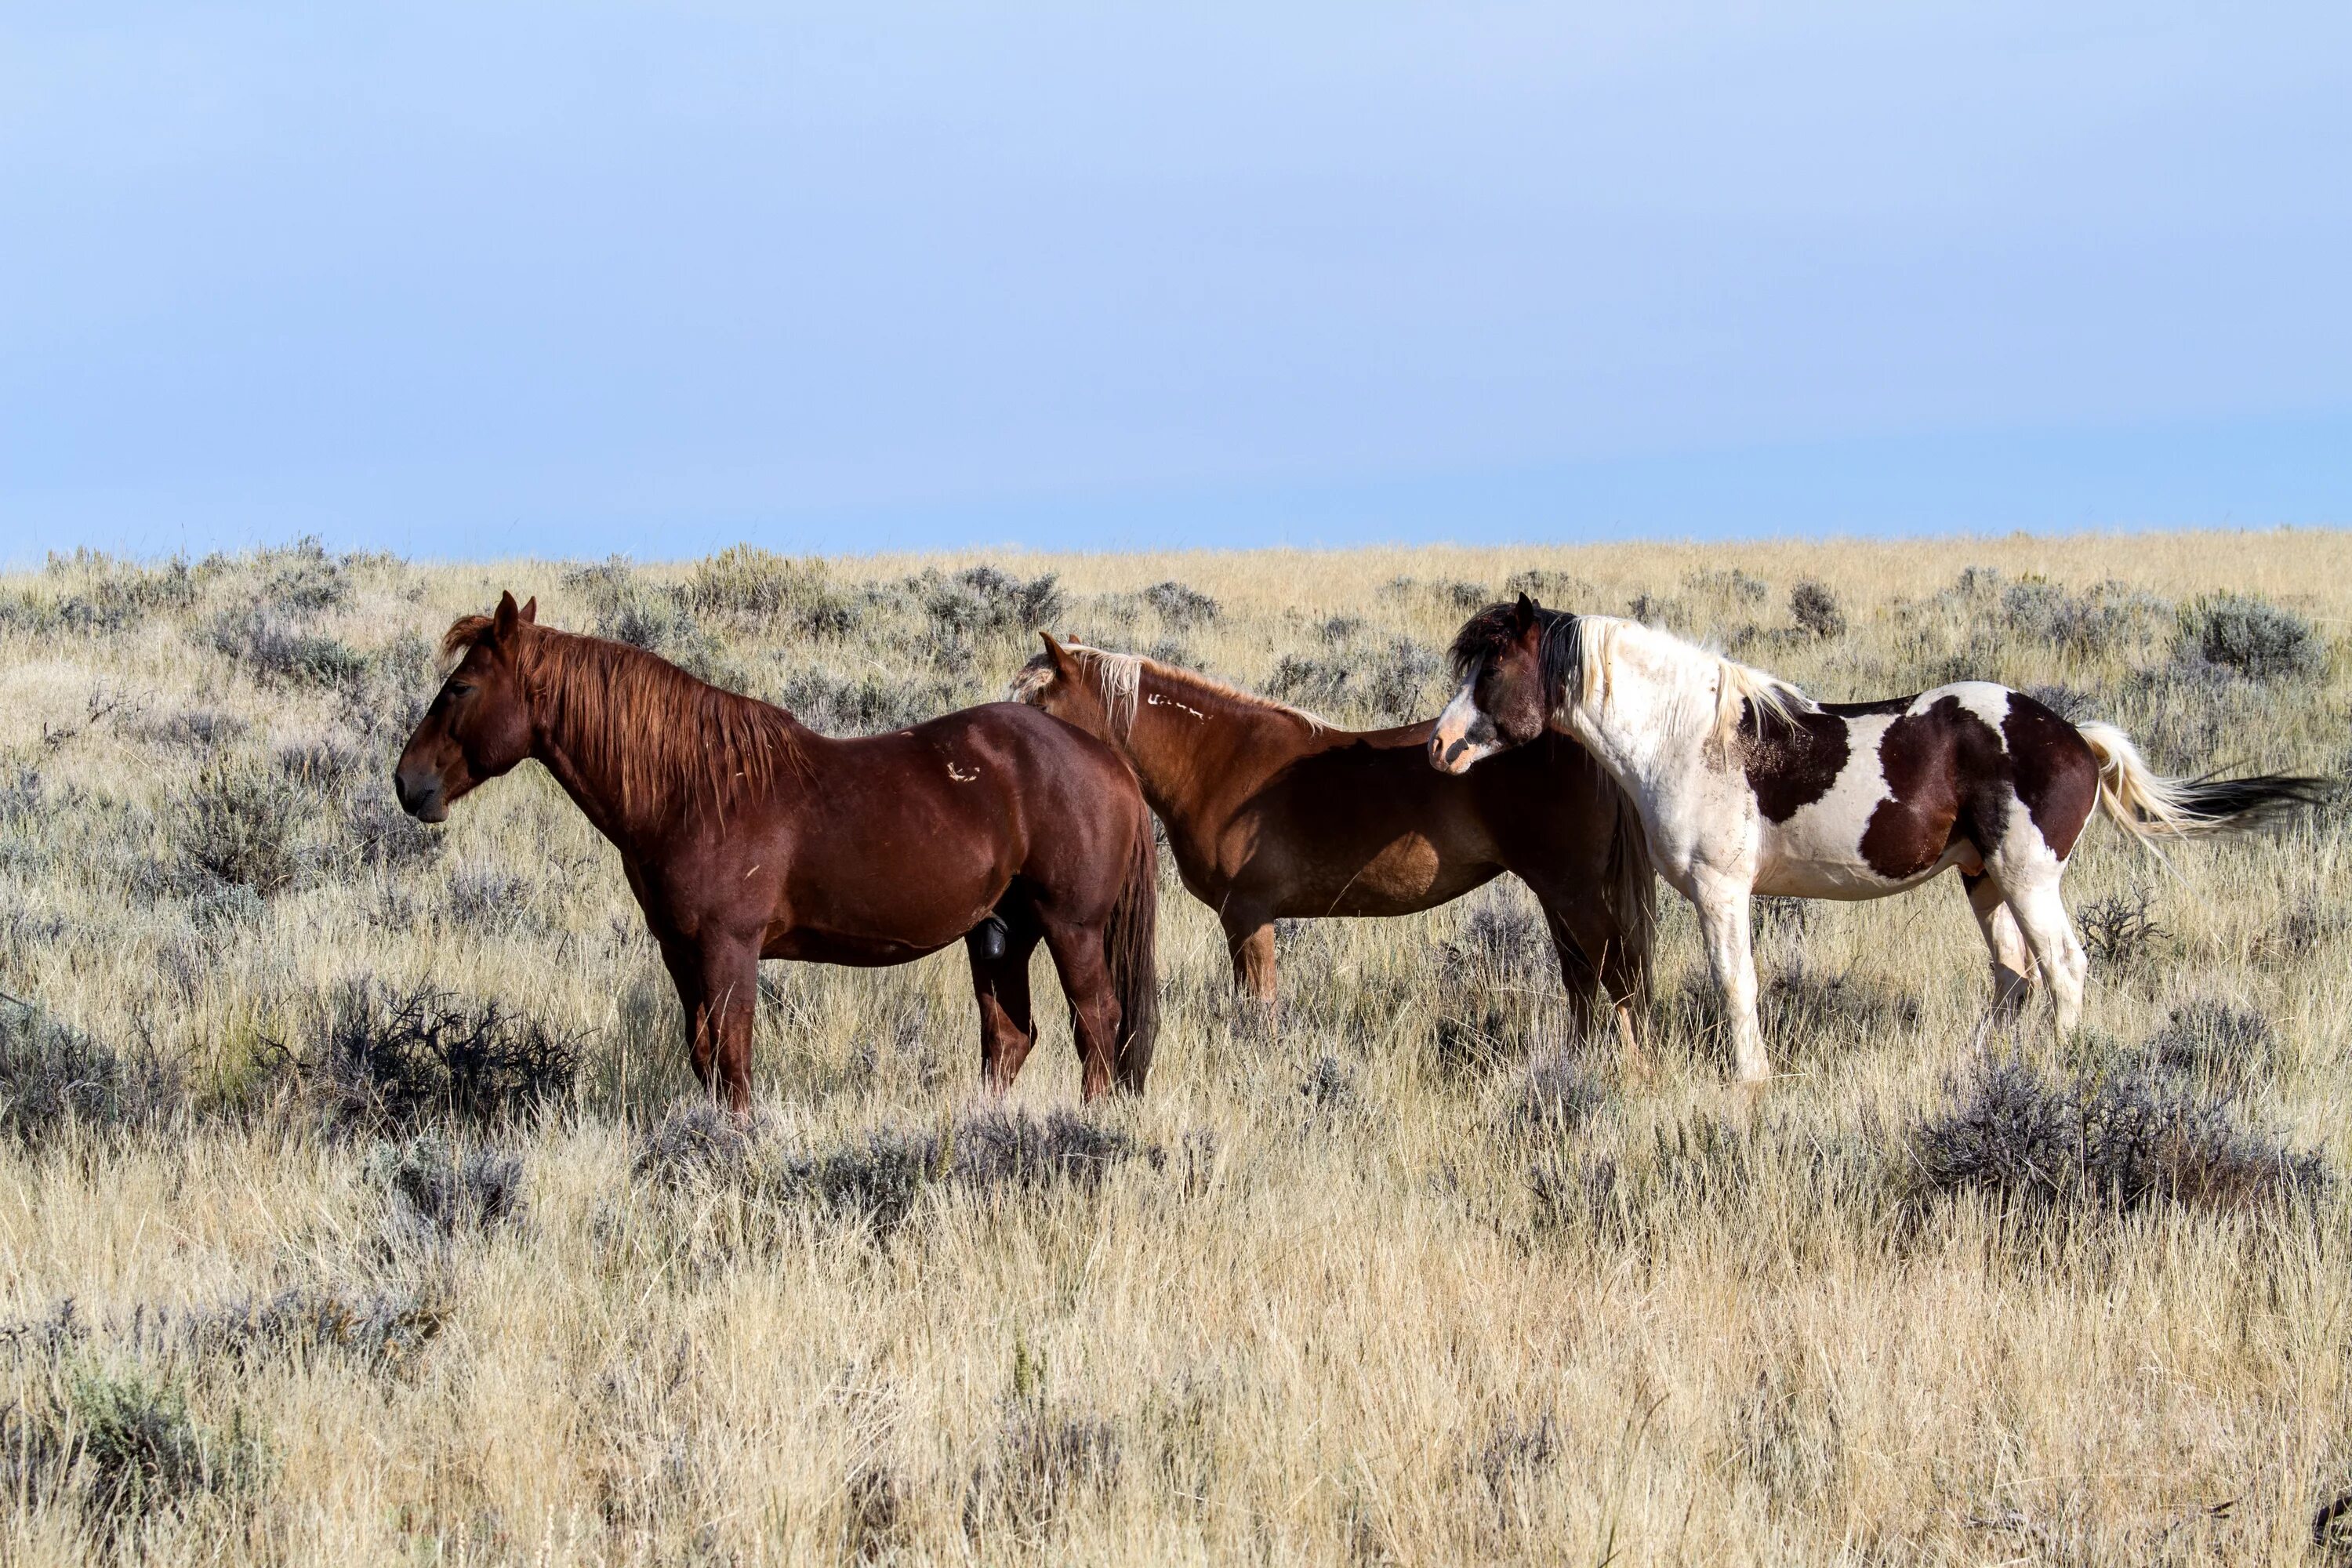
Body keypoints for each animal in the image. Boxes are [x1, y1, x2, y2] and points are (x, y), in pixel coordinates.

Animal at [395, 592, 1157, 1114]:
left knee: (1098, 1026)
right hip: (999, 934)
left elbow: (733, 1060)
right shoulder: (682, 951)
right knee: (1009, 1038)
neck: (693, 789)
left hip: (1072, 928)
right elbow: (705, 1057)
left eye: (460, 687)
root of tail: (1110, 760)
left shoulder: (729, 948)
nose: (408, 782)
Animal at [1011, 630, 1656, 1053]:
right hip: (1556, 893)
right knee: (1582, 977)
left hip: (1572, 891)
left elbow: (1260, 1008)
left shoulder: (1247, 916)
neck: (1215, 760)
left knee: (1618, 974)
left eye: (1038, 701)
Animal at [1421, 594, 2324, 1086]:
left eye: (1492, 667)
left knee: (2063, 968)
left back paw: (2065, 1066)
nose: (1438, 745)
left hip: (2028, 875)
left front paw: (1751, 1079)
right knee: (2012, 974)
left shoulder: (1722, 891)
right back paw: (1985, 1068)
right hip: (1983, 878)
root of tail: (2075, 737)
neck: (1685, 736)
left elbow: (1736, 986)